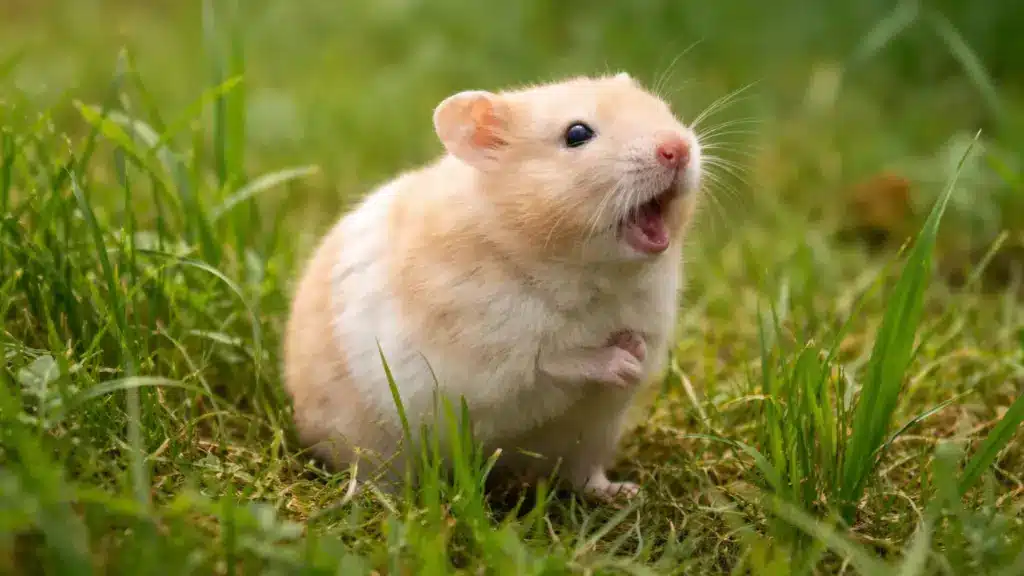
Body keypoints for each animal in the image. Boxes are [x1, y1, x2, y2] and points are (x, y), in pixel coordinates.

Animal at [283, 72, 702, 501]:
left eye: (663, 107)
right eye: (577, 134)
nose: (678, 149)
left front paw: (634, 350)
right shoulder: (492, 364)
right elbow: (556, 361)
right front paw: (623, 360)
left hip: (593, 438)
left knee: (583, 475)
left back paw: (624, 493)